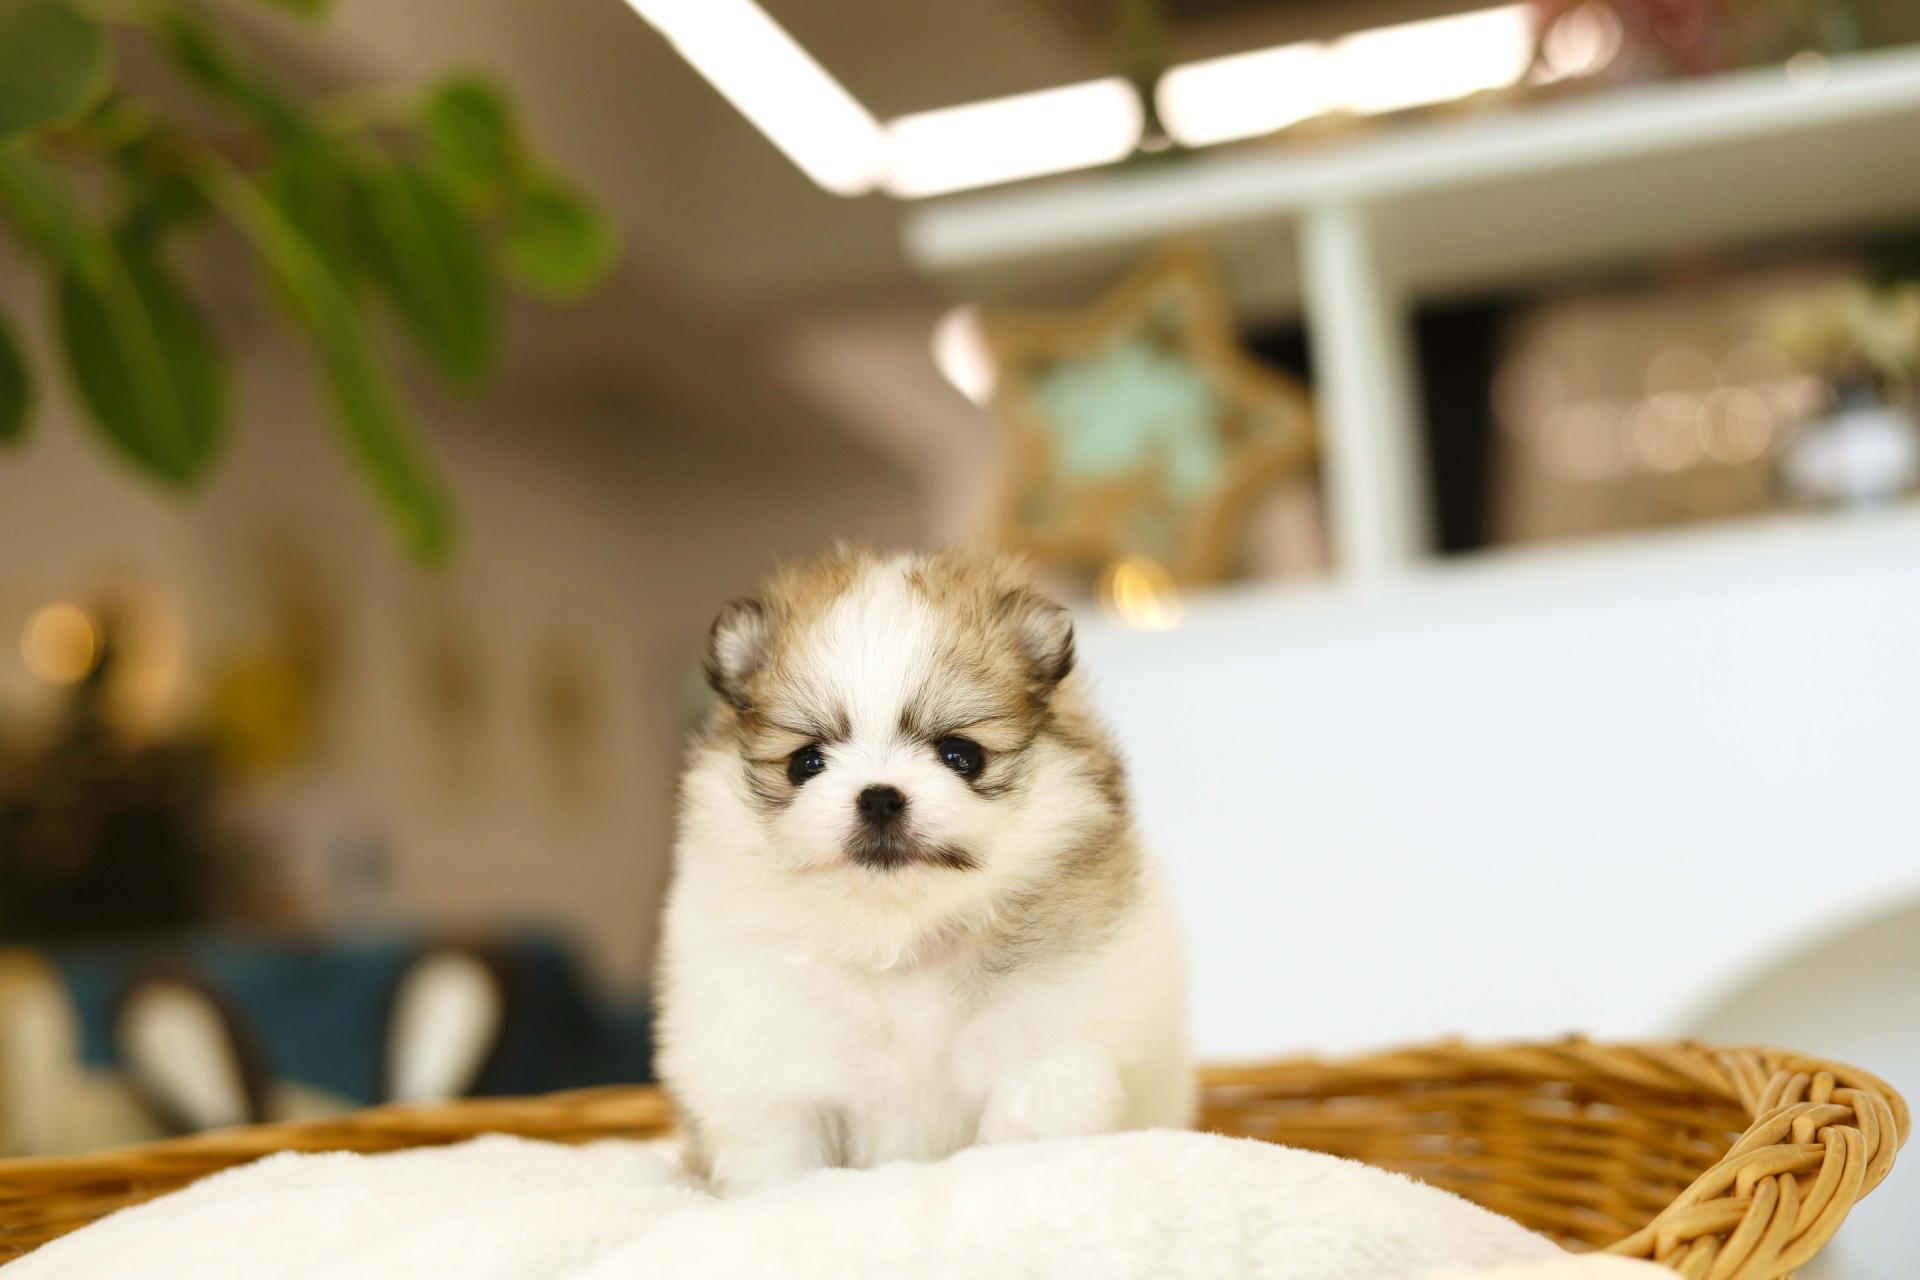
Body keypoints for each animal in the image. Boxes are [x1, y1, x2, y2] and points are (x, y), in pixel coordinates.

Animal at [656, 546, 1191, 1194]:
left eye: (962, 755)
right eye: (806, 762)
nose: (880, 797)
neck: (900, 942)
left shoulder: (1047, 1059)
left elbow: (1023, 1136)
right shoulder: (773, 1083)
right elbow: (783, 1166)